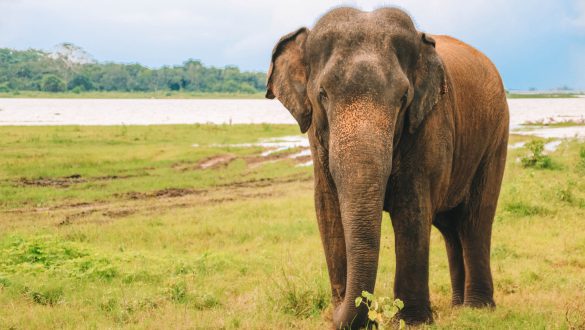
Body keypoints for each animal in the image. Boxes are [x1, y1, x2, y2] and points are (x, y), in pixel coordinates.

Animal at [264, 6, 506, 328]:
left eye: (403, 98)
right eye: (323, 94)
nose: (369, 317)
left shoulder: (429, 123)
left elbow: (412, 209)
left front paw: (413, 321)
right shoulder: (317, 138)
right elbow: (327, 209)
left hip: (496, 135)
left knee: (475, 220)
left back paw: (478, 309)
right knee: (450, 228)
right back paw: (458, 306)